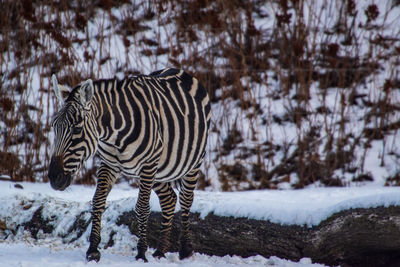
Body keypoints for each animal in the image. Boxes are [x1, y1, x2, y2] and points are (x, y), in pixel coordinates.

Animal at [48, 68, 211, 262]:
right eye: (53, 127)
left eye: (77, 129)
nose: (54, 178)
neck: (114, 134)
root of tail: (179, 70)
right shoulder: (109, 163)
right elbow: (98, 201)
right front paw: (93, 250)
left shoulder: (148, 164)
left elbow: (142, 207)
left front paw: (141, 252)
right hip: (160, 170)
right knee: (169, 199)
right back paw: (160, 251)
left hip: (193, 163)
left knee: (186, 199)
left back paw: (185, 249)